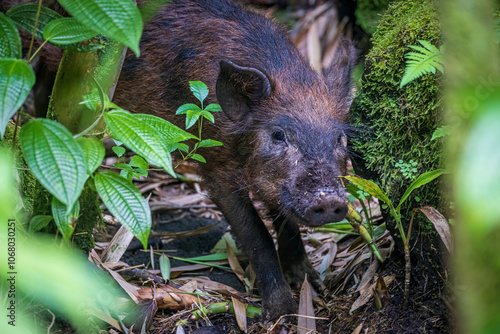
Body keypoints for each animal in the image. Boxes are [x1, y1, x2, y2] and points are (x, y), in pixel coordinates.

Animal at [114, 0, 358, 320]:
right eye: (278, 135)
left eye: (340, 138)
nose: (329, 199)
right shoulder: (216, 168)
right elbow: (257, 235)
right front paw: (281, 313)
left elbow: (285, 221)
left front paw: (313, 286)